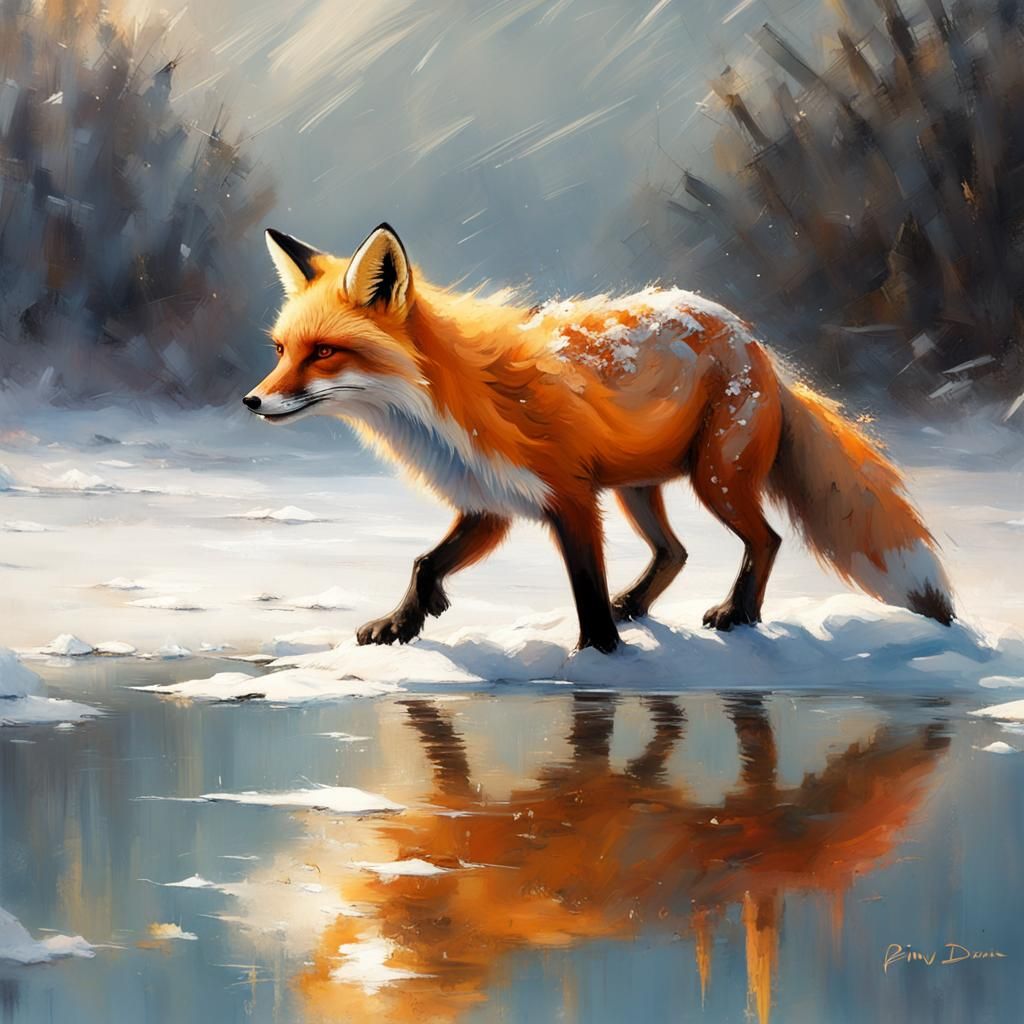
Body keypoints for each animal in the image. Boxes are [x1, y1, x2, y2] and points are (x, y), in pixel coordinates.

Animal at [243, 222, 954, 654]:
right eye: (280, 350)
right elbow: (424, 563)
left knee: (767, 539)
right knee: (675, 552)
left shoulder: (571, 497)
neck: (446, 407)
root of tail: (752, 340)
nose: (252, 401)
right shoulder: (490, 503)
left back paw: (738, 614)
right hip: (639, 488)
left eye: (324, 352)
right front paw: (403, 623)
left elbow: (584, 585)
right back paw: (637, 605)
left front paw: (598, 655)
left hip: (714, 481)